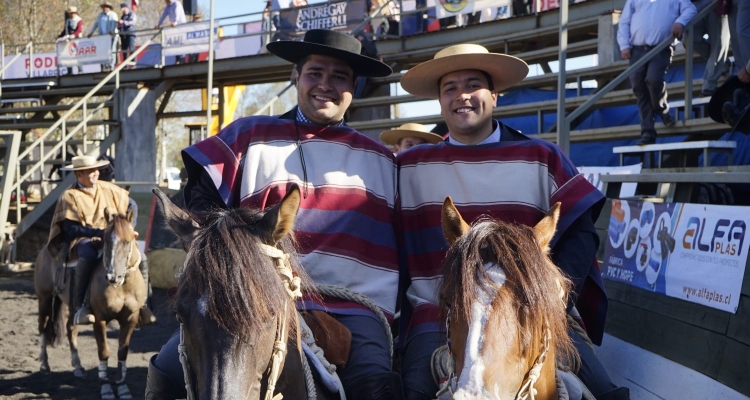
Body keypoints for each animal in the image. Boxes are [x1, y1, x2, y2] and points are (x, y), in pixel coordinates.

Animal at [34, 208, 148, 398]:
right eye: (106, 240)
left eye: (128, 241)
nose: (112, 277)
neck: (122, 287)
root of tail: (44, 250)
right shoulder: (99, 319)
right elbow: (104, 351)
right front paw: (106, 388)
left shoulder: (130, 319)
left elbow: (122, 351)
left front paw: (123, 387)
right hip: (44, 298)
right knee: (43, 327)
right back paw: (44, 364)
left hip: (70, 303)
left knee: (71, 328)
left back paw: (78, 367)